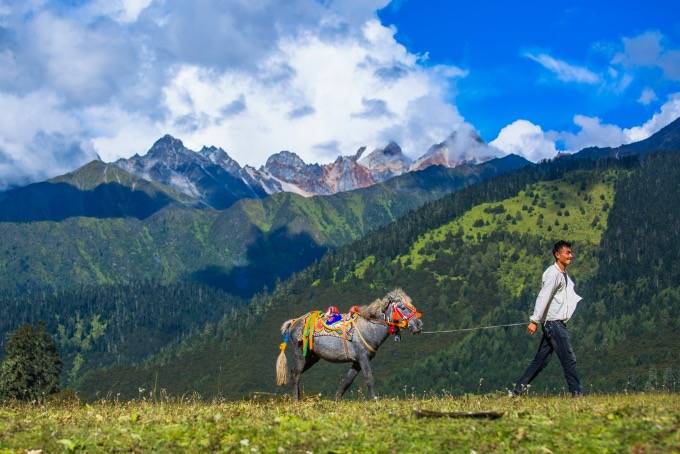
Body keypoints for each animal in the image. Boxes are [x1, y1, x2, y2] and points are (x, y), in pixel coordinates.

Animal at [274, 290, 422, 400]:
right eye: (402, 307)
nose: (419, 325)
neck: (369, 327)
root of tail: (294, 322)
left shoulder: (356, 362)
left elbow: (346, 382)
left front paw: (336, 401)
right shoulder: (363, 358)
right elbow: (369, 379)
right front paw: (375, 400)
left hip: (312, 358)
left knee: (294, 373)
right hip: (301, 354)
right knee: (296, 374)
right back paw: (295, 400)